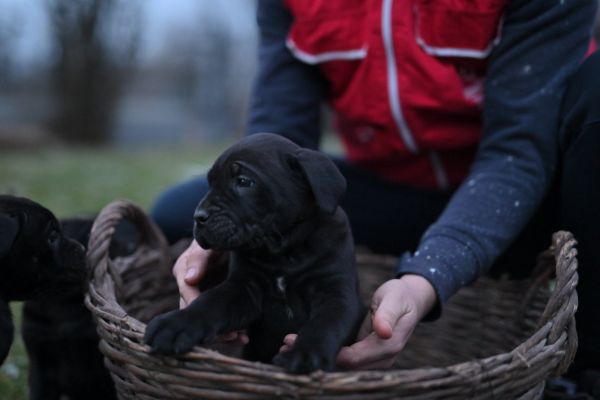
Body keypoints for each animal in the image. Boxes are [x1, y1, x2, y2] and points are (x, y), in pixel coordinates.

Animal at [144, 133, 366, 374]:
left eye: (243, 181)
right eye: (210, 182)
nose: (198, 217)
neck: (284, 252)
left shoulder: (336, 293)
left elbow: (325, 324)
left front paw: (306, 354)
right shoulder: (243, 287)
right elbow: (210, 302)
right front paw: (175, 324)